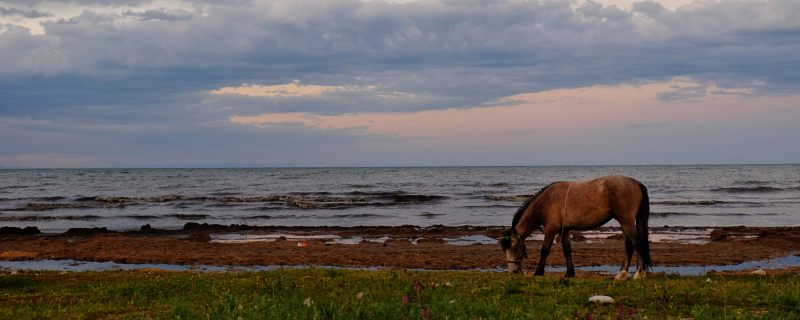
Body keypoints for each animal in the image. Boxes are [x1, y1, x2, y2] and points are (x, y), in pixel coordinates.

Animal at [500, 176, 648, 278]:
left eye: (515, 248)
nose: (512, 271)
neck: (547, 201)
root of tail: (636, 183)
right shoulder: (564, 230)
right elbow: (567, 250)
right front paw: (569, 273)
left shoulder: (550, 230)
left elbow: (545, 250)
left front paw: (538, 272)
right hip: (625, 223)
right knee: (629, 246)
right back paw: (622, 274)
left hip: (626, 222)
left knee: (637, 243)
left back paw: (638, 274)